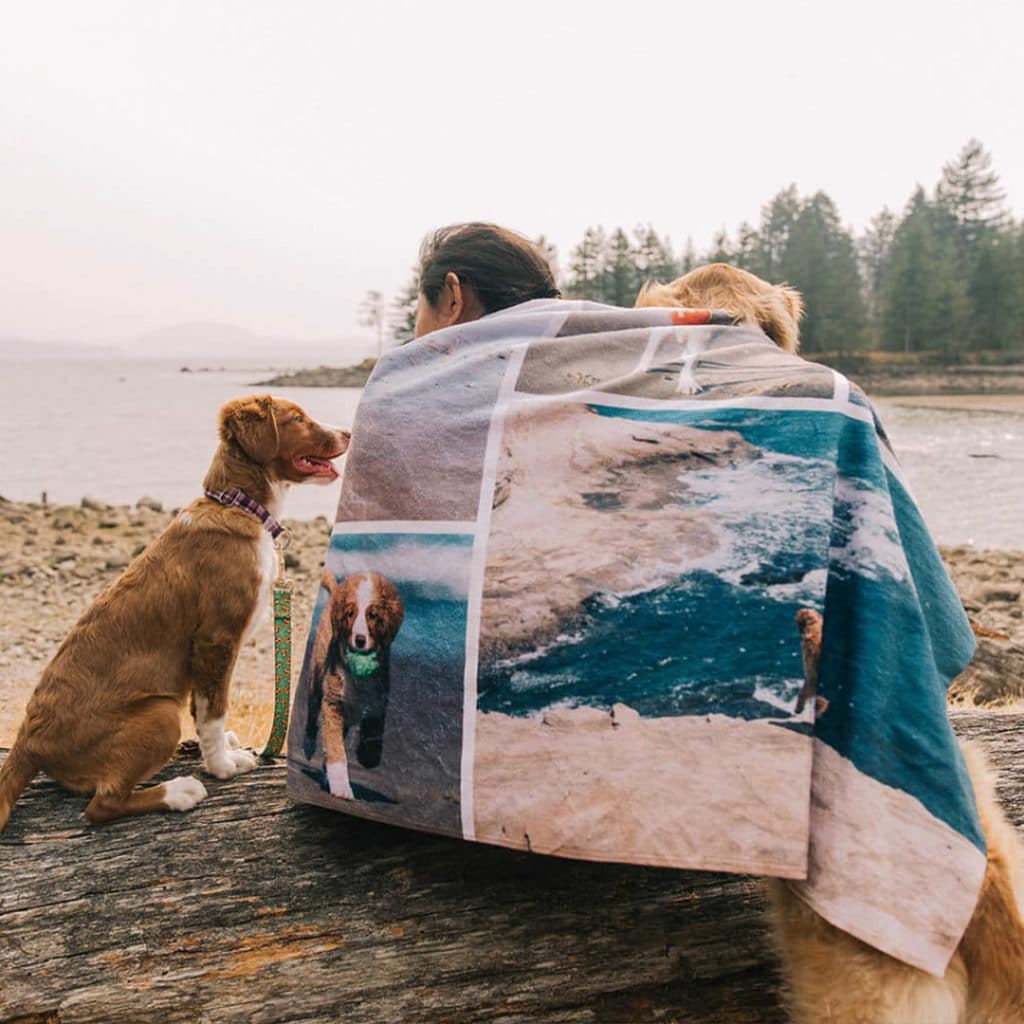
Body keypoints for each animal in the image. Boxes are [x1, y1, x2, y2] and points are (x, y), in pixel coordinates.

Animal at [0, 391, 348, 831]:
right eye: (297, 419)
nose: (347, 433)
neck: (241, 506)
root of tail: (27, 743)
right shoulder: (216, 639)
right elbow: (215, 709)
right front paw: (221, 766)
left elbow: (202, 708)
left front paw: (220, 751)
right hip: (161, 714)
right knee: (102, 806)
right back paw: (179, 792)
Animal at [303, 569, 403, 798]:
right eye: (350, 614)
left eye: (373, 616)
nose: (359, 639)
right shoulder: (332, 704)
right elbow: (335, 748)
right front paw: (341, 786)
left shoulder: (378, 701)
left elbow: (374, 731)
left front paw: (368, 756)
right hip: (316, 675)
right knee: (312, 713)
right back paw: (309, 745)